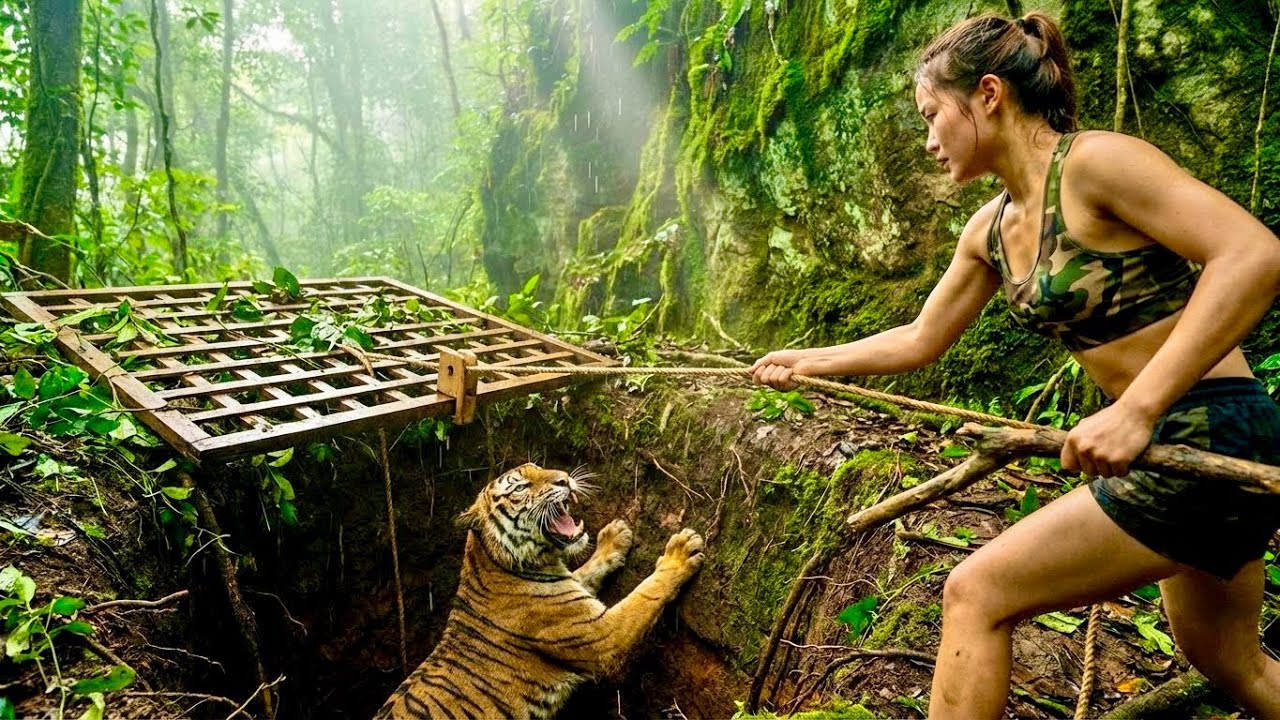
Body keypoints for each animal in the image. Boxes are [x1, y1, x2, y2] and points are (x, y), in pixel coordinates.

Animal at [375, 462, 705, 719]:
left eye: (541, 467)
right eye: (521, 487)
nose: (564, 478)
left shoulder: (574, 589)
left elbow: (587, 569)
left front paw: (615, 536)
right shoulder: (604, 636)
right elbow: (646, 594)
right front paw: (680, 551)